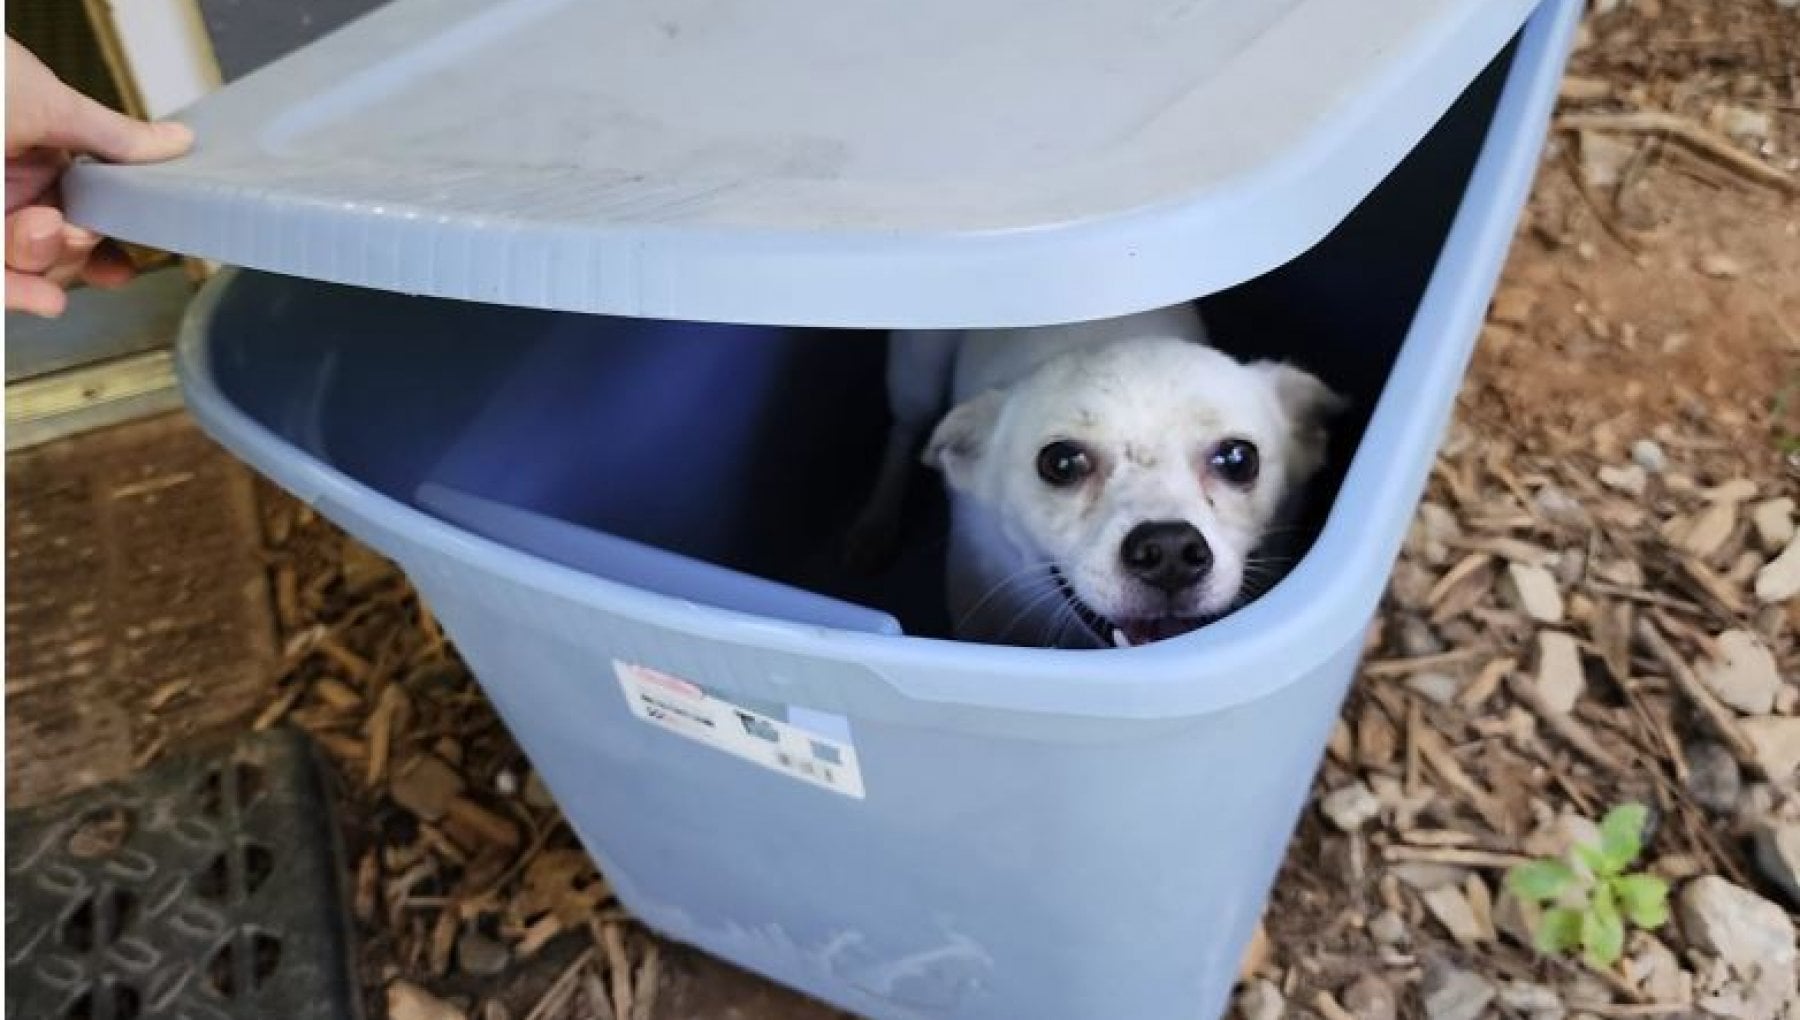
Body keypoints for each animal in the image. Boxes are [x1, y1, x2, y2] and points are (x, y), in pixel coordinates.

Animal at [849, 304, 1346, 651]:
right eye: (1061, 463)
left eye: (1239, 459)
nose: (1169, 550)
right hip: (918, 370)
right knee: (904, 430)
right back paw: (874, 526)